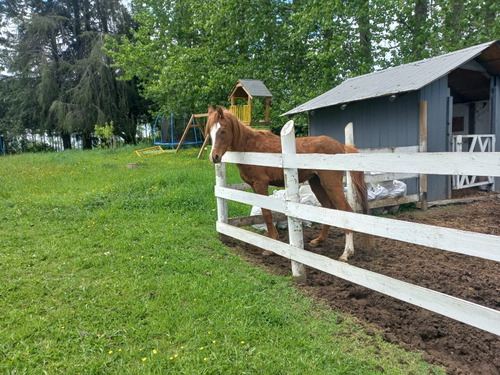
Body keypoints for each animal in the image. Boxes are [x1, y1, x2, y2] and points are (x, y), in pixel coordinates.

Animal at [207, 106, 372, 262]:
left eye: (222, 130)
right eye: (210, 131)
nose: (214, 157)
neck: (251, 148)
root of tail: (341, 146)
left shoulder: (261, 184)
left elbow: (267, 213)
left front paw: (271, 247)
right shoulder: (255, 186)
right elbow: (266, 212)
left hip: (331, 184)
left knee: (346, 211)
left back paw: (346, 253)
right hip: (316, 184)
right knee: (328, 208)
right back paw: (319, 240)